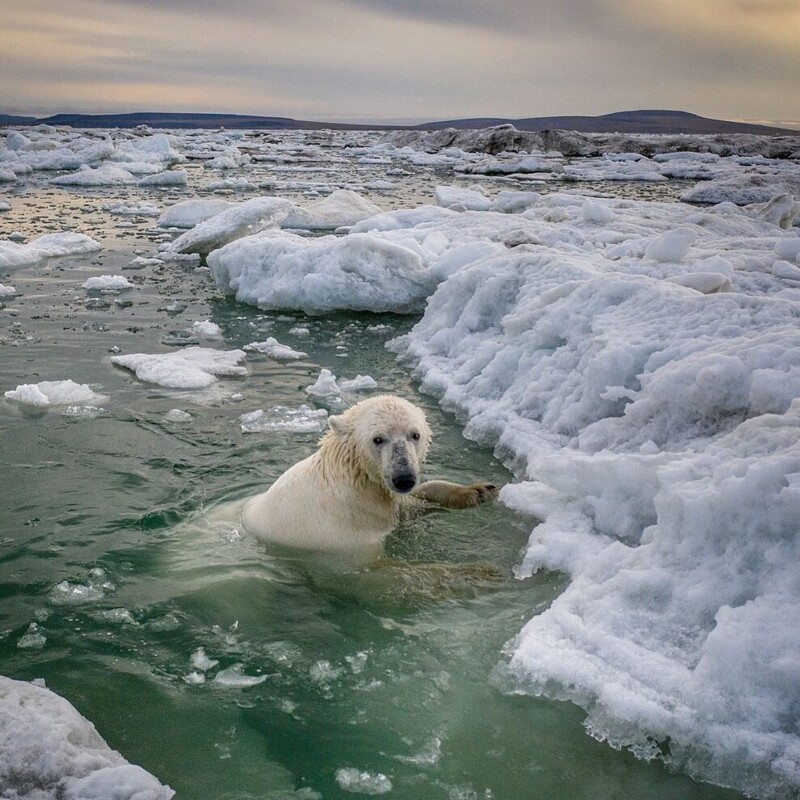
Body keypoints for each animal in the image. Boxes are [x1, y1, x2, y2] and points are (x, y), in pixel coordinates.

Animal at [241, 396, 496, 564]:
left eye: (415, 435)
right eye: (378, 439)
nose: (404, 478)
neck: (352, 486)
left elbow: (410, 505)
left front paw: (479, 491)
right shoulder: (342, 540)